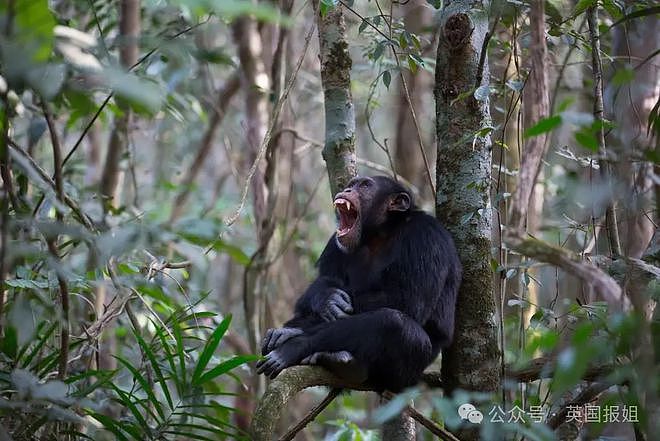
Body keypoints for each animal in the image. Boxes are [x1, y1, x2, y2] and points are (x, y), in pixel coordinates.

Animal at [255, 174, 462, 390]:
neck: (382, 232)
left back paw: (296, 347)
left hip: (408, 372)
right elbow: (325, 279)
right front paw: (325, 298)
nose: (347, 191)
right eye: (351, 185)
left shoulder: (425, 237)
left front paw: (293, 334)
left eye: (365, 185)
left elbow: (408, 300)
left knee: (392, 322)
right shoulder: (334, 243)